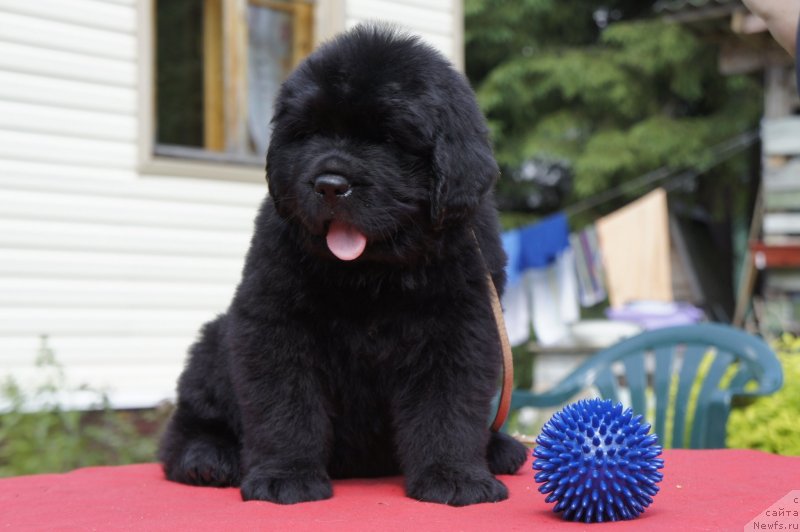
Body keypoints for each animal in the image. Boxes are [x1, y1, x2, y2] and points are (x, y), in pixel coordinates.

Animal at [159, 25, 528, 508]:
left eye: (387, 138)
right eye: (311, 132)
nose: (330, 185)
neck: (372, 273)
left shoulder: (458, 329)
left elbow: (447, 407)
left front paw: (454, 476)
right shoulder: (275, 324)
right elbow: (285, 407)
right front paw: (286, 476)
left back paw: (501, 448)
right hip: (213, 342)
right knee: (185, 428)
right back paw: (206, 457)